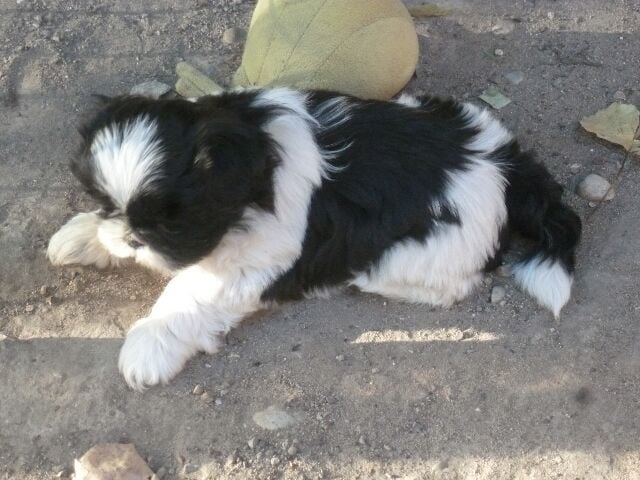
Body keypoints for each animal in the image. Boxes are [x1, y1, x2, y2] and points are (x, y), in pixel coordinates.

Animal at [48, 88, 581, 390]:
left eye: (173, 222)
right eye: (105, 203)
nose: (133, 238)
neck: (258, 157)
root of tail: (507, 165)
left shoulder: (256, 256)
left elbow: (189, 292)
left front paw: (149, 345)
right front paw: (86, 237)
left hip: (426, 249)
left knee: (449, 283)